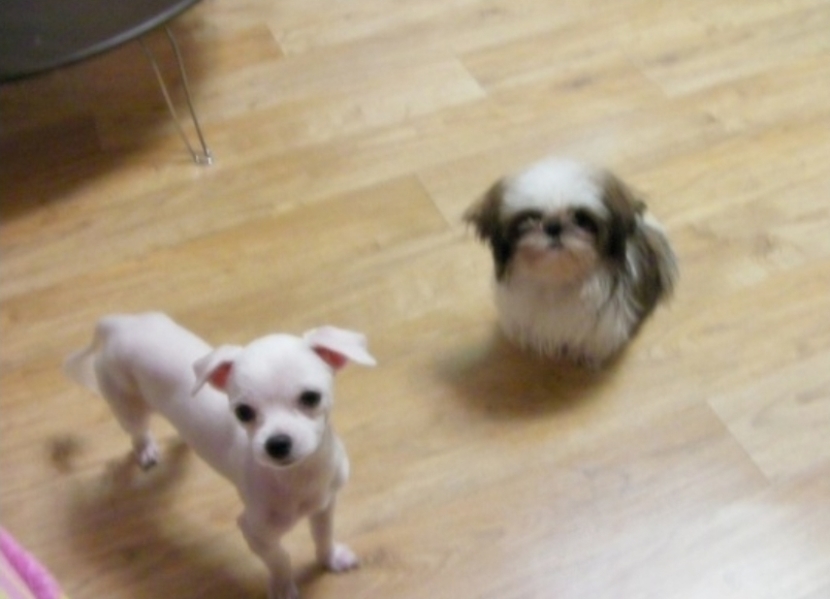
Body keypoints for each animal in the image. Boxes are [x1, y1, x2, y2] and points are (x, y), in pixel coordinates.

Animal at [64, 312, 376, 599]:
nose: (276, 444)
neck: (300, 475)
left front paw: (330, 559)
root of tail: (118, 323)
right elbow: (280, 560)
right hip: (127, 406)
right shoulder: (255, 533)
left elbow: (323, 535)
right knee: (138, 431)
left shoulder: (324, 506)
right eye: (243, 412)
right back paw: (146, 449)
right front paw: (283, 588)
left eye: (311, 397)